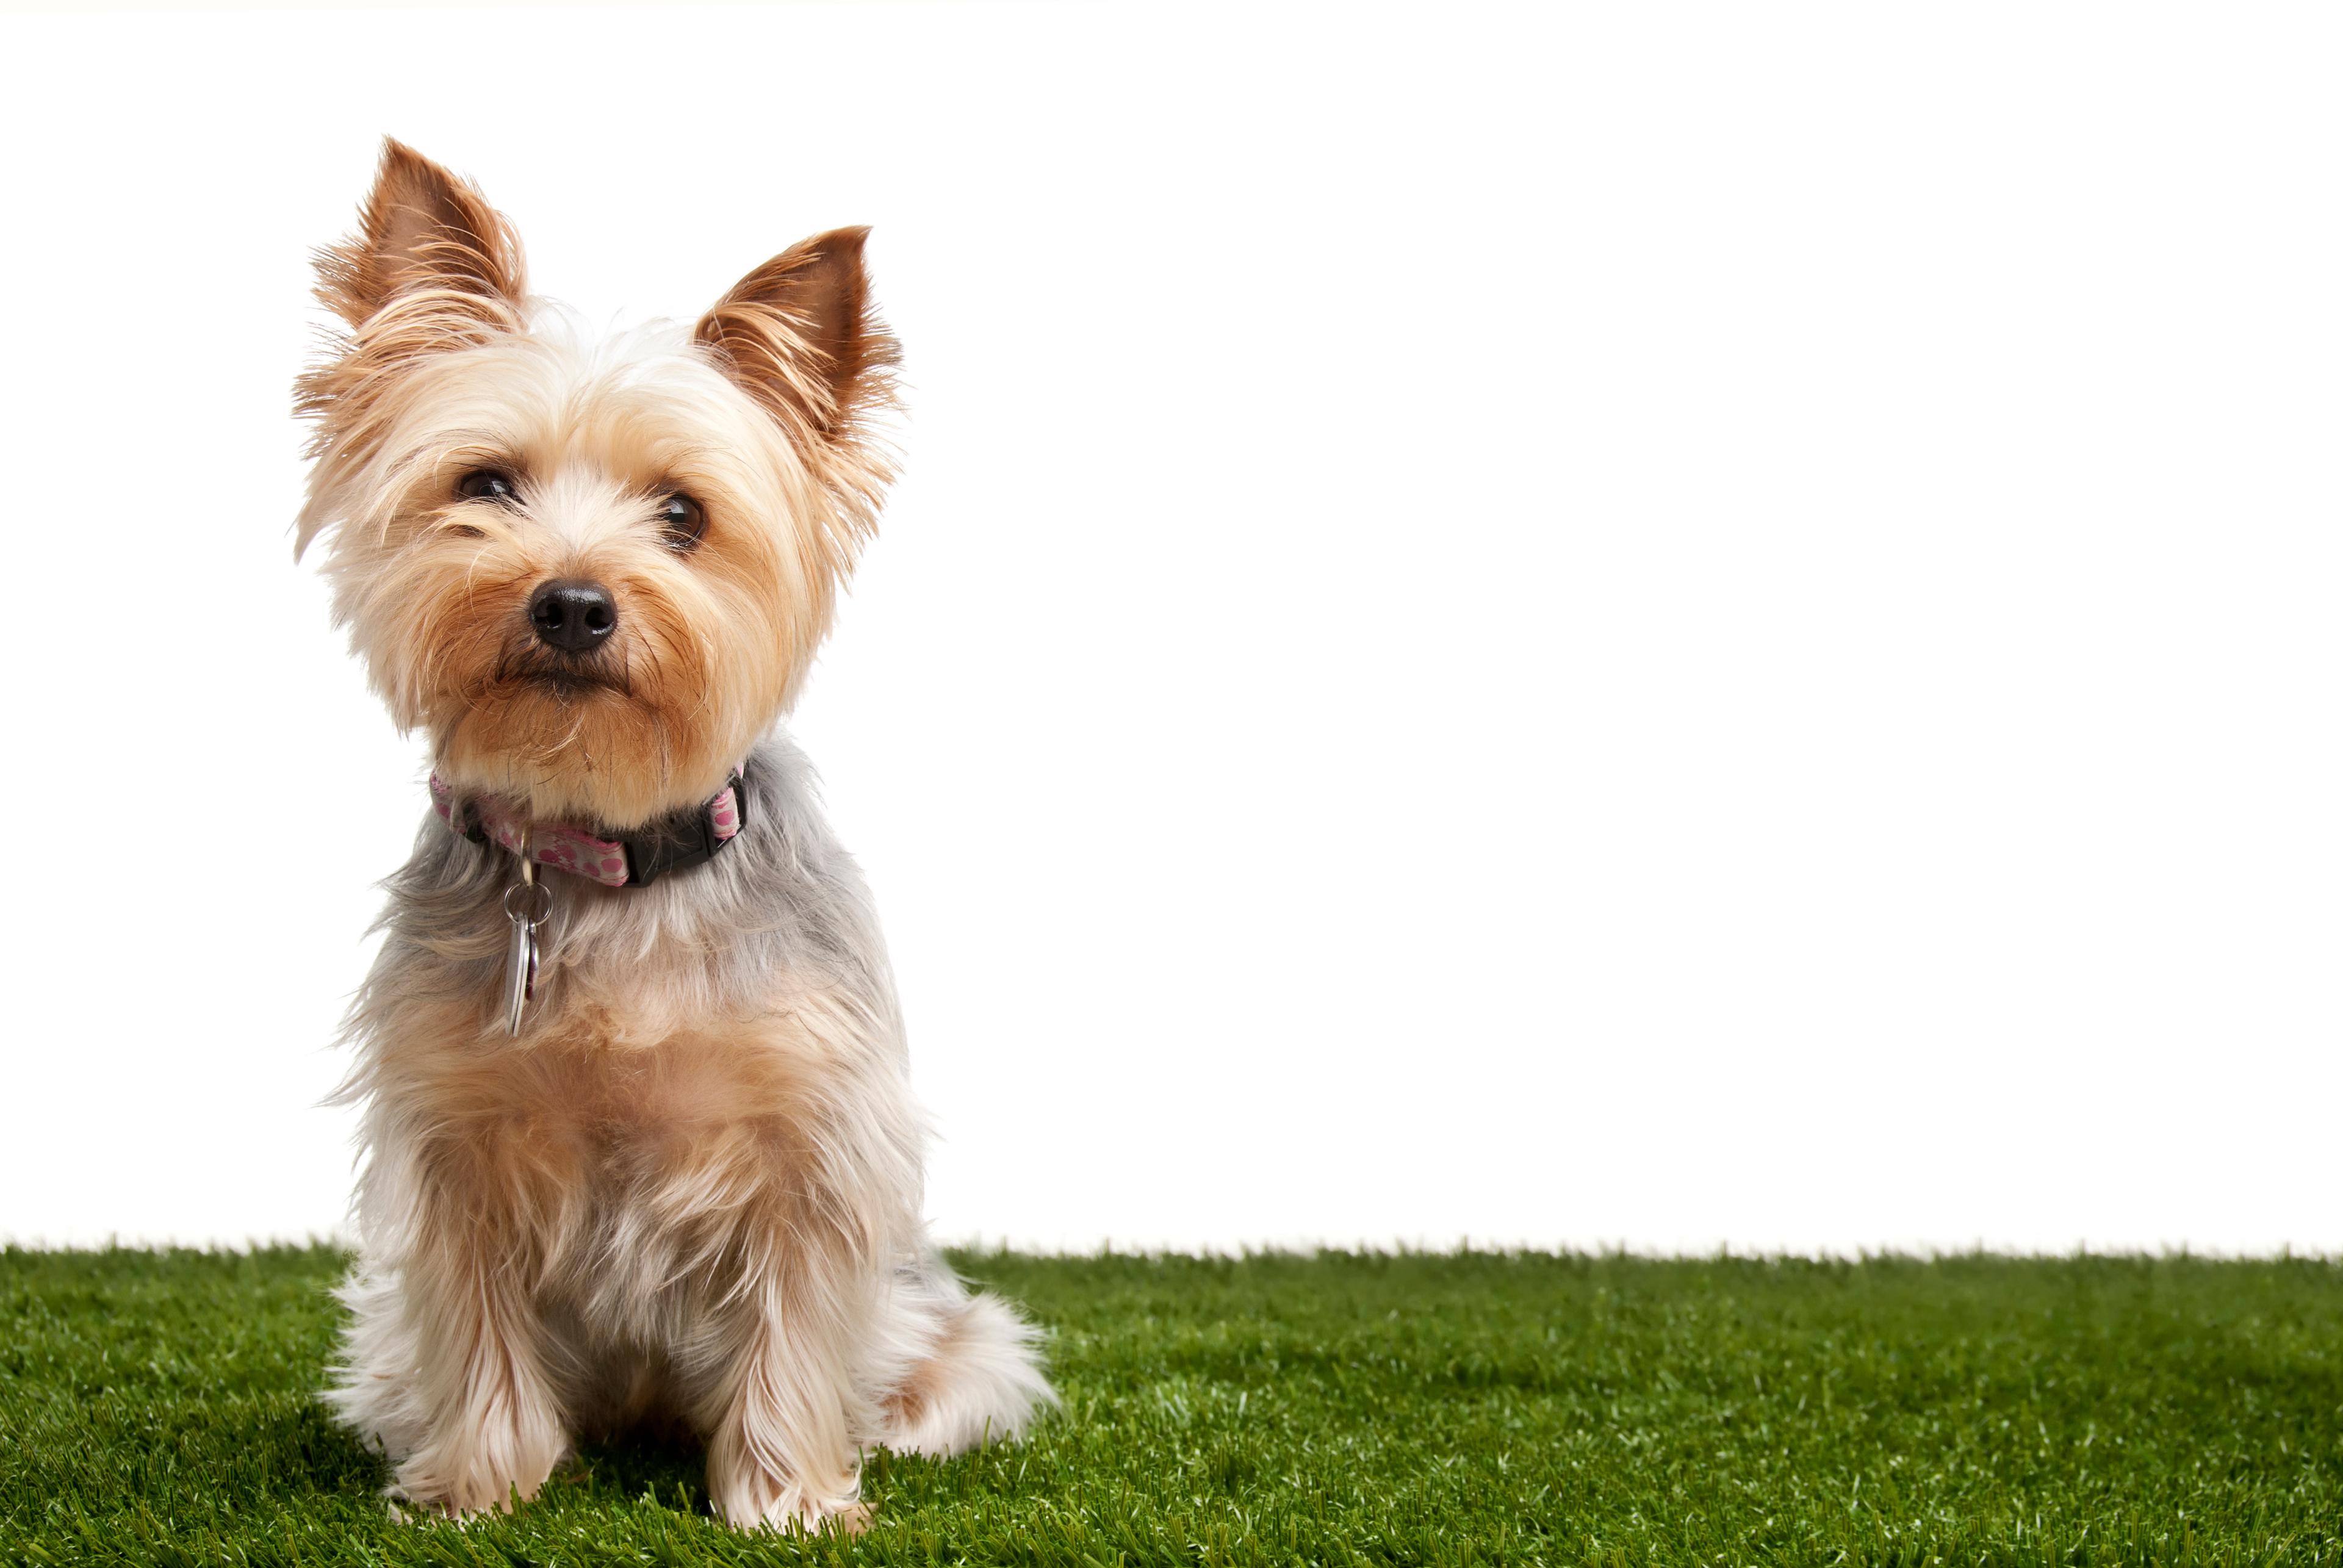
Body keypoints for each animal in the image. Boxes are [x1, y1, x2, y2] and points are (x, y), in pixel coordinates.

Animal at [293, 137, 1054, 1528]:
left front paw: (790, 1503)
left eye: (686, 515)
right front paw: (481, 1486)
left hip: (959, 1336)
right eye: (485, 484)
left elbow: (795, 1327)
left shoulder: (808, 1137)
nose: (572, 603)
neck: (606, 865)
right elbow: (476, 1328)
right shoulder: (454, 1140)